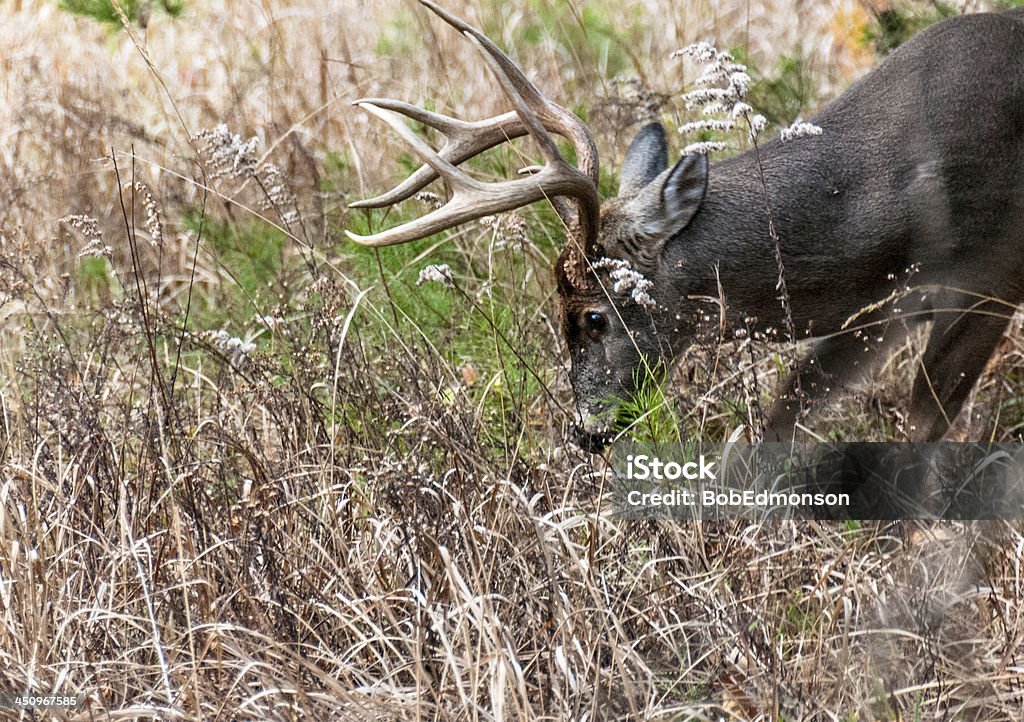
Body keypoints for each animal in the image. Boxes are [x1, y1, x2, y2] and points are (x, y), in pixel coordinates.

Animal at [348, 1, 1024, 450]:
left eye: (595, 317)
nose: (585, 432)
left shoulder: (990, 276)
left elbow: (921, 428)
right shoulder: (885, 304)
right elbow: (786, 415)